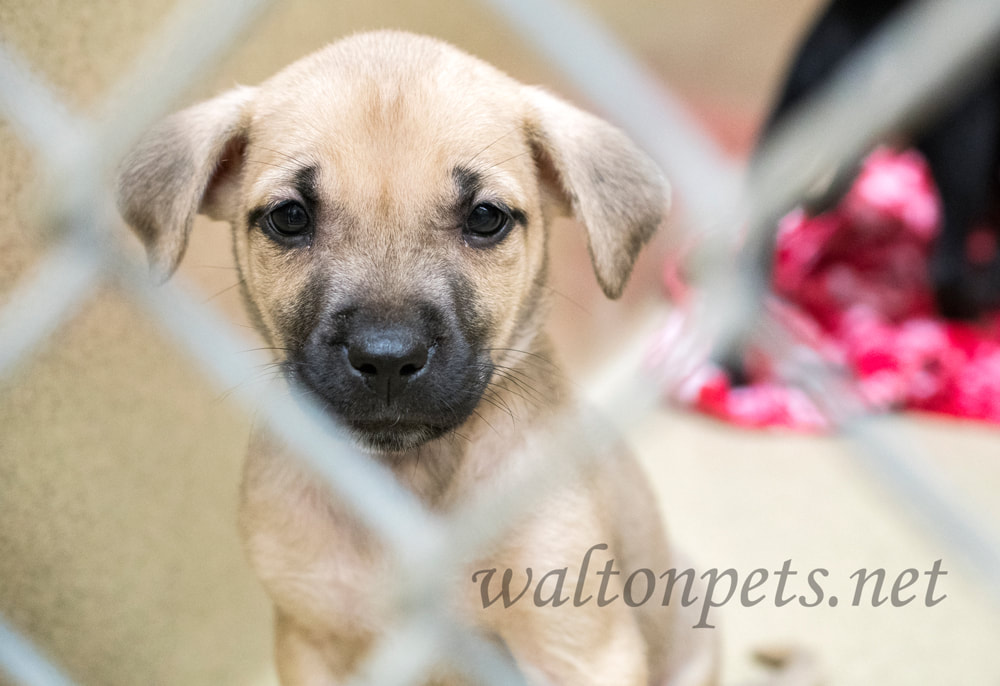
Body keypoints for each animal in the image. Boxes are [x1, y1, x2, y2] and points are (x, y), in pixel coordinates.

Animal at [115, 30, 720, 684]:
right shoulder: (309, 639)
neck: (409, 483)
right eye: (289, 217)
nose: (386, 359)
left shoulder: (578, 648)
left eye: (485, 217)